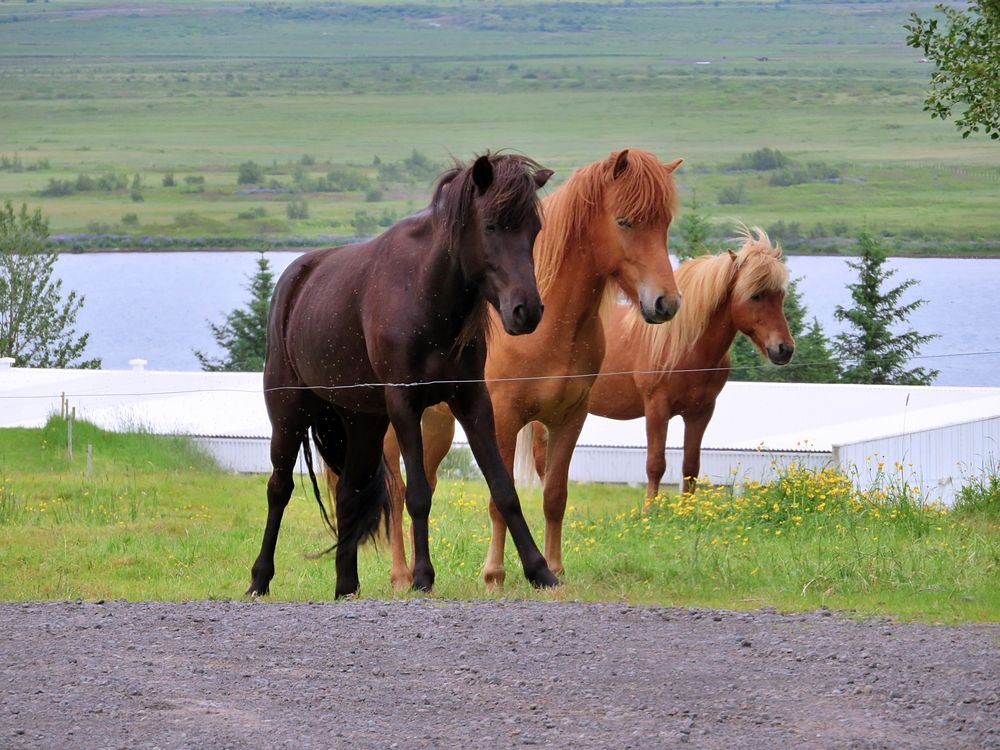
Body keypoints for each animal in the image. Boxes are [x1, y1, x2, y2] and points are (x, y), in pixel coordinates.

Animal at [247, 152, 558, 598]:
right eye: (491, 226)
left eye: (533, 229)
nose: (526, 311)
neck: (424, 294)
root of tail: (294, 280)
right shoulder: (404, 403)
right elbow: (418, 494)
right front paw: (422, 577)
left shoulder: (472, 401)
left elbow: (503, 488)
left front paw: (540, 572)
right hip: (289, 413)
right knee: (279, 489)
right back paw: (259, 579)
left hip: (362, 422)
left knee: (349, 492)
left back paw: (346, 585)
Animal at [351, 148, 684, 590]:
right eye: (625, 221)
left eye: (664, 224)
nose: (666, 302)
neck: (552, 325)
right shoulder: (502, 418)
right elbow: (499, 496)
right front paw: (494, 574)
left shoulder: (569, 418)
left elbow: (555, 496)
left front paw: (555, 567)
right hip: (397, 425)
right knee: (396, 488)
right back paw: (402, 575)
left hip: (436, 425)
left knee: (426, 484)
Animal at [580, 226, 794, 505]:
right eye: (756, 295)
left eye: (780, 295)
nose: (784, 349)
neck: (683, 347)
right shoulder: (657, 409)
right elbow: (655, 464)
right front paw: (649, 510)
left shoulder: (700, 412)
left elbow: (691, 467)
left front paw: (687, 509)